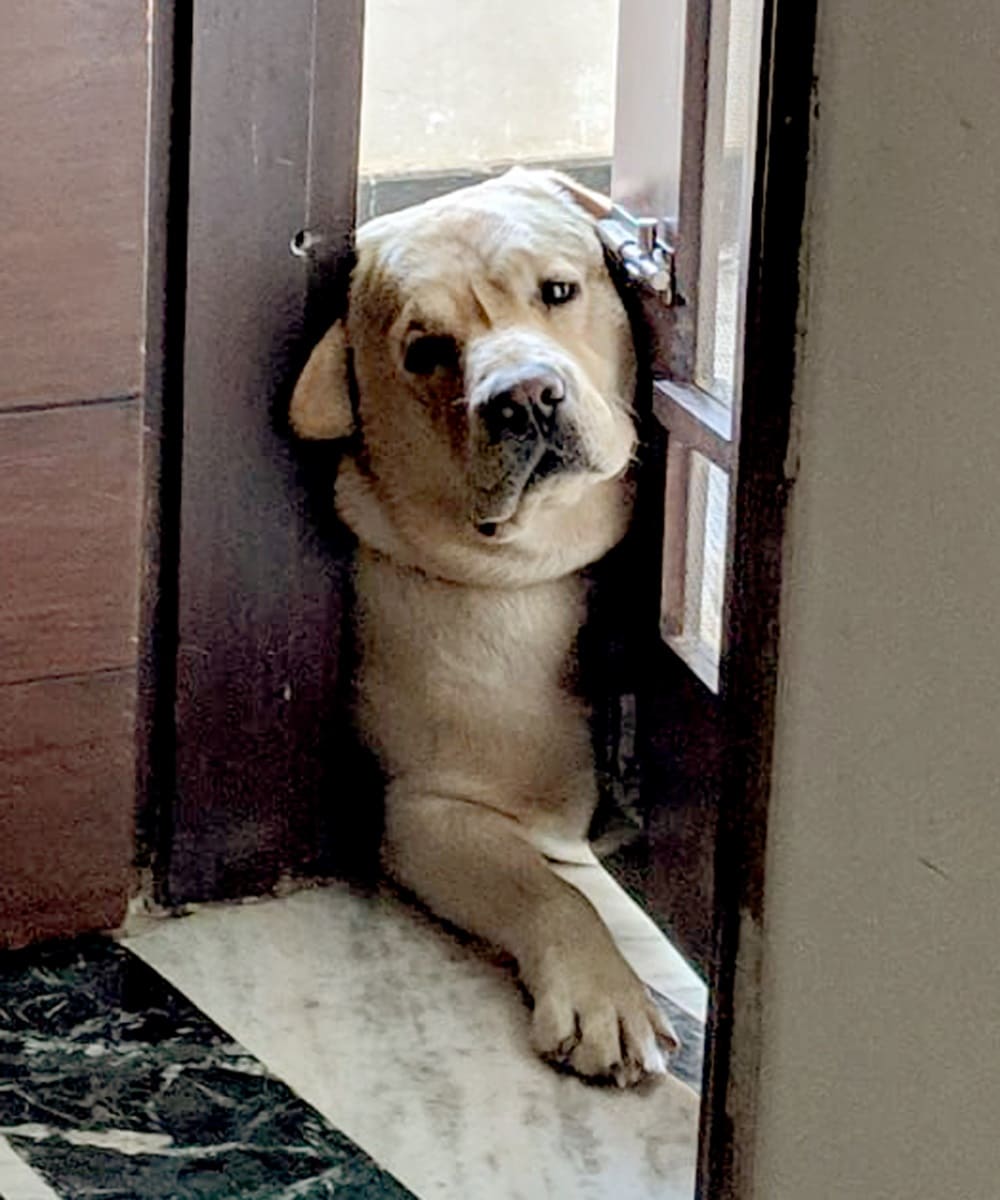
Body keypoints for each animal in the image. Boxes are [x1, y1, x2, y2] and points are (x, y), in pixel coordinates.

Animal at [292, 169, 677, 1089]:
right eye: (426, 350)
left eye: (560, 291)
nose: (526, 397)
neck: (546, 563)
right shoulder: (432, 811)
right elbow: (546, 889)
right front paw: (604, 992)